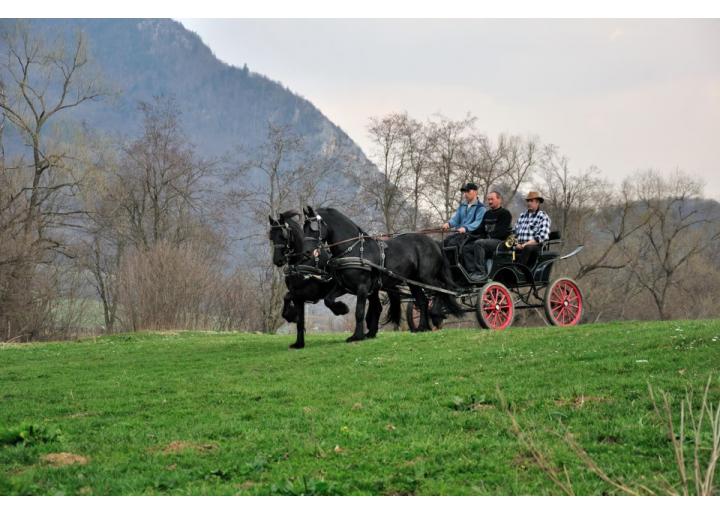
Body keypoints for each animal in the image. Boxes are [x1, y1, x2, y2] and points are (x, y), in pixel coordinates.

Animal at [268, 209, 350, 348]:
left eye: (283, 235)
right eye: (271, 236)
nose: (277, 260)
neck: (303, 262)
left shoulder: (308, 292)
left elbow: (289, 297)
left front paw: (292, 315)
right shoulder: (298, 297)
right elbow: (298, 319)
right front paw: (299, 343)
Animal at [304, 204, 462, 340]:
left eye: (313, 227)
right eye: (304, 227)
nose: (306, 252)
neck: (354, 249)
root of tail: (434, 242)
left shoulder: (362, 287)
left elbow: (359, 312)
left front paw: (357, 336)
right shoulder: (344, 286)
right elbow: (328, 300)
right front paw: (342, 310)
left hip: (426, 277)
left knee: (442, 289)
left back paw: (435, 315)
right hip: (414, 282)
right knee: (423, 301)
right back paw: (422, 327)